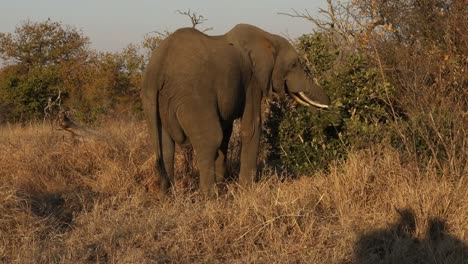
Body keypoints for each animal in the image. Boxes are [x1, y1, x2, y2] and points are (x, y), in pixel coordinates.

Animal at [141, 23, 330, 197]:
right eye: (294, 64)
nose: (330, 108)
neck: (267, 38)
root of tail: (156, 70)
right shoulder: (252, 81)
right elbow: (251, 127)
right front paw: (247, 190)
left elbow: (227, 132)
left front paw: (225, 184)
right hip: (193, 96)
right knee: (210, 139)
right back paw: (211, 197)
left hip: (155, 102)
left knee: (166, 147)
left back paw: (168, 197)